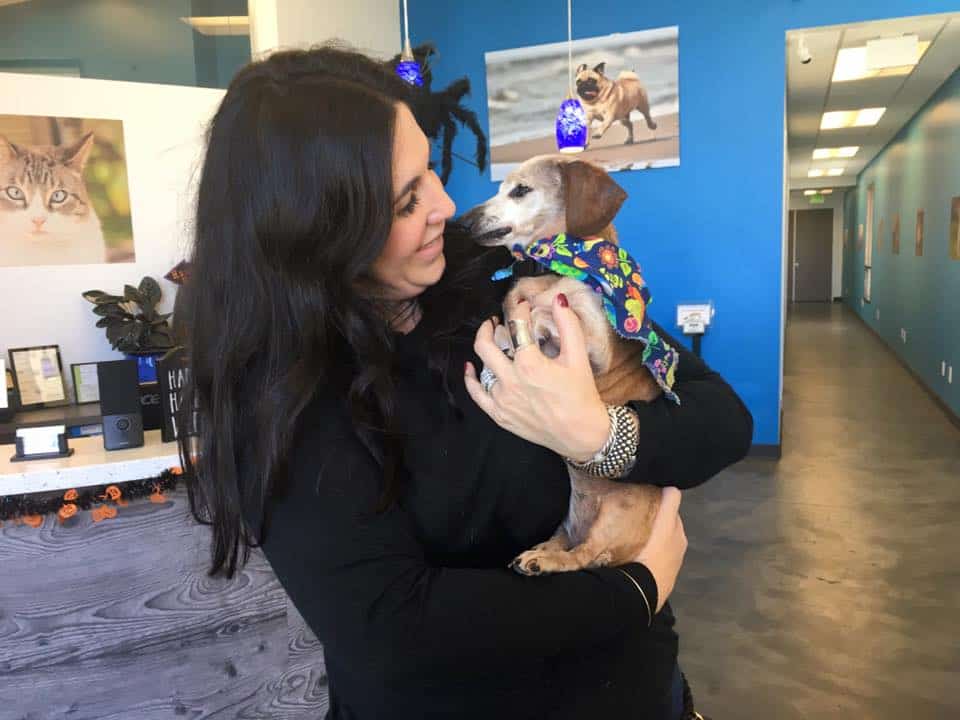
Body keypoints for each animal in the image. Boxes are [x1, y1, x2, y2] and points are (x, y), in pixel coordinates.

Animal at [460, 155, 676, 576]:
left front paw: (539, 317)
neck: (549, 268)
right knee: (567, 543)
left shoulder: (594, 345)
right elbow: (506, 325)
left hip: (615, 514)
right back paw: (538, 553)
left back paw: (549, 561)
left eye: (520, 190)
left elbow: (554, 314)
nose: (464, 220)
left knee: (587, 555)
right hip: (565, 520)